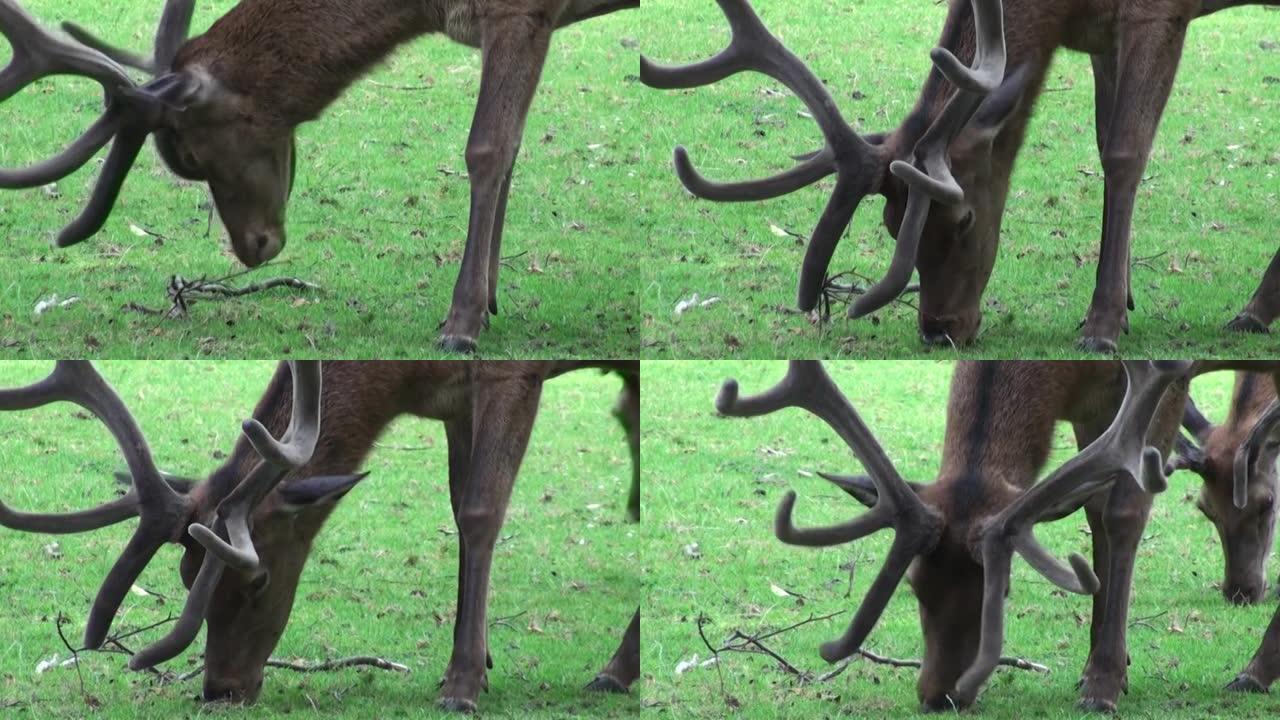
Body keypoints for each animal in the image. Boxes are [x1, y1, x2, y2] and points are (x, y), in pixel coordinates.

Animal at [0, 0, 637, 353]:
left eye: (192, 155)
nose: (253, 248)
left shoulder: (518, 10)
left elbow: (487, 148)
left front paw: (462, 323)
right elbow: (514, 143)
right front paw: (493, 298)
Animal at [0, 356, 640, 707]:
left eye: (257, 580)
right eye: (186, 575)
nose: (221, 689)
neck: (403, 385)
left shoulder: (512, 375)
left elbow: (482, 513)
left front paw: (461, 685)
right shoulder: (453, 400)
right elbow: (458, 508)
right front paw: (478, 657)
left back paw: (615, 669)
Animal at [645, 0, 1280, 348]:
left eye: (965, 217)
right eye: (890, 222)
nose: (939, 329)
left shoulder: (1156, 11)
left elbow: (1124, 153)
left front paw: (1101, 325)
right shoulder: (1100, 32)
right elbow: (1103, 139)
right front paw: (1121, 300)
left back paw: (1255, 308)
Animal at [711, 356, 1187, 707]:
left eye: (1002, 591)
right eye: (915, 586)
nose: (938, 698)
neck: (1070, 377)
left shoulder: (1163, 384)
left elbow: (1122, 513)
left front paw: (1104, 683)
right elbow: (1095, 509)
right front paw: (1101, 668)